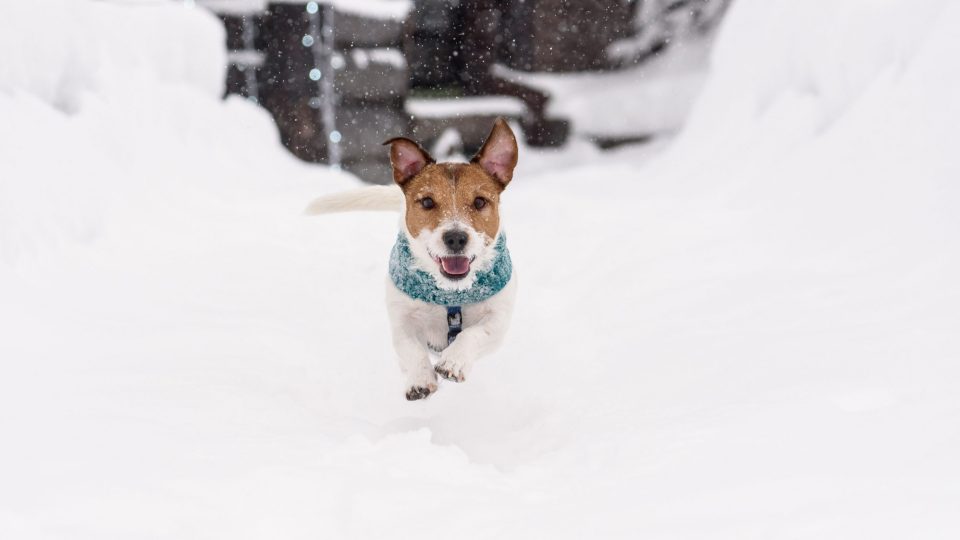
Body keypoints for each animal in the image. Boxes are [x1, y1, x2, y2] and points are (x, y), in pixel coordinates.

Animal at [306, 118, 516, 398]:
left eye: (480, 202)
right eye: (427, 202)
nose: (456, 238)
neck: (450, 293)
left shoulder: (498, 318)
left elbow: (475, 333)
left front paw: (454, 361)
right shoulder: (402, 320)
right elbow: (411, 348)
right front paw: (419, 379)